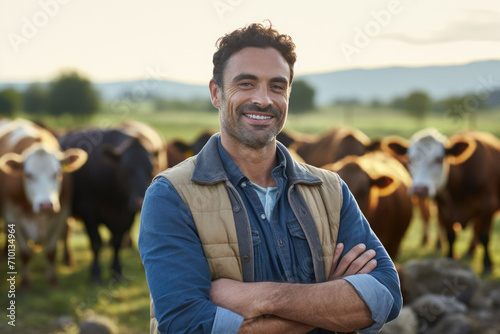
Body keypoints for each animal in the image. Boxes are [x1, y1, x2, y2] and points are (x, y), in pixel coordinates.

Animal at [0, 119, 88, 288]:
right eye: (28, 174)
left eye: (58, 173)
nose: (46, 205)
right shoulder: (14, 218)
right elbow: (25, 253)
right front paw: (24, 283)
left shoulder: (60, 216)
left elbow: (51, 251)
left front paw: (52, 280)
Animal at [58, 128, 153, 282]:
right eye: (126, 169)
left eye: (150, 169)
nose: (139, 201)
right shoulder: (89, 211)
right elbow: (96, 242)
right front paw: (96, 274)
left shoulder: (126, 216)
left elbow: (117, 242)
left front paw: (117, 272)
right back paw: (68, 259)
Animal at [382, 129, 500, 272]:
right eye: (410, 159)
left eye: (439, 159)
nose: (420, 189)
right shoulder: (444, 208)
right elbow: (450, 236)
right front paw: (450, 259)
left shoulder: (487, 206)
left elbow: (485, 237)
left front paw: (488, 264)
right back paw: (470, 251)